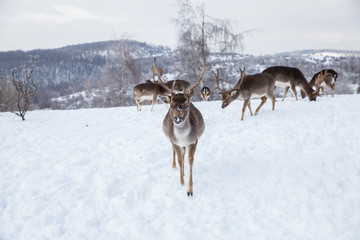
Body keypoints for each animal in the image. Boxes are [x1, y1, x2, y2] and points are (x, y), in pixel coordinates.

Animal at [154, 57, 207, 196]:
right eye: (171, 105)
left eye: (186, 104)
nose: (177, 119)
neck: (183, 138)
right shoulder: (175, 142)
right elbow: (179, 160)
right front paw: (182, 182)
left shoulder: (193, 141)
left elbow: (190, 160)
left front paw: (190, 190)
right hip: (172, 141)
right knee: (177, 155)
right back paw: (176, 168)